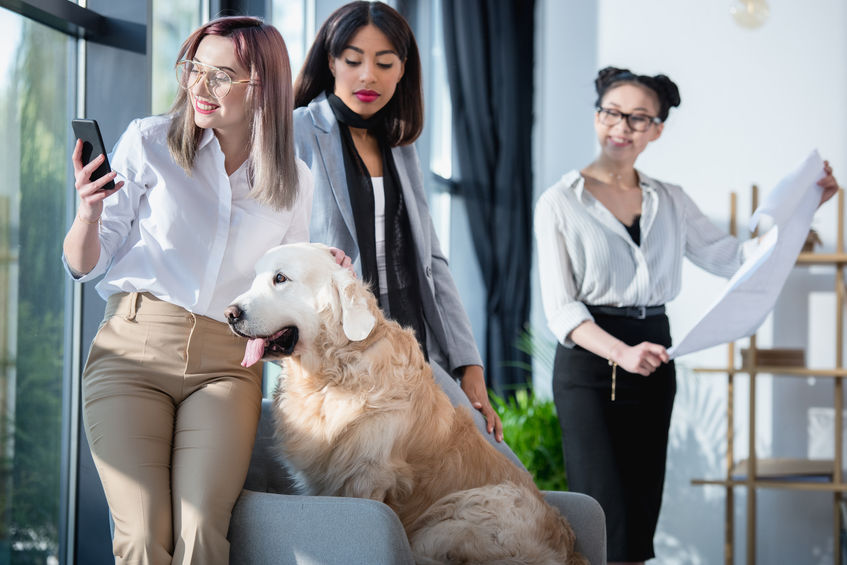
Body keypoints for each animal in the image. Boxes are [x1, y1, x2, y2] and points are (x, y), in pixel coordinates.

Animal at [225, 242, 588, 564]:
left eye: (280, 278)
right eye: (255, 278)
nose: (229, 314)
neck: (335, 371)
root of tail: (568, 550)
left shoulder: (367, 478)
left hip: (457, 515)